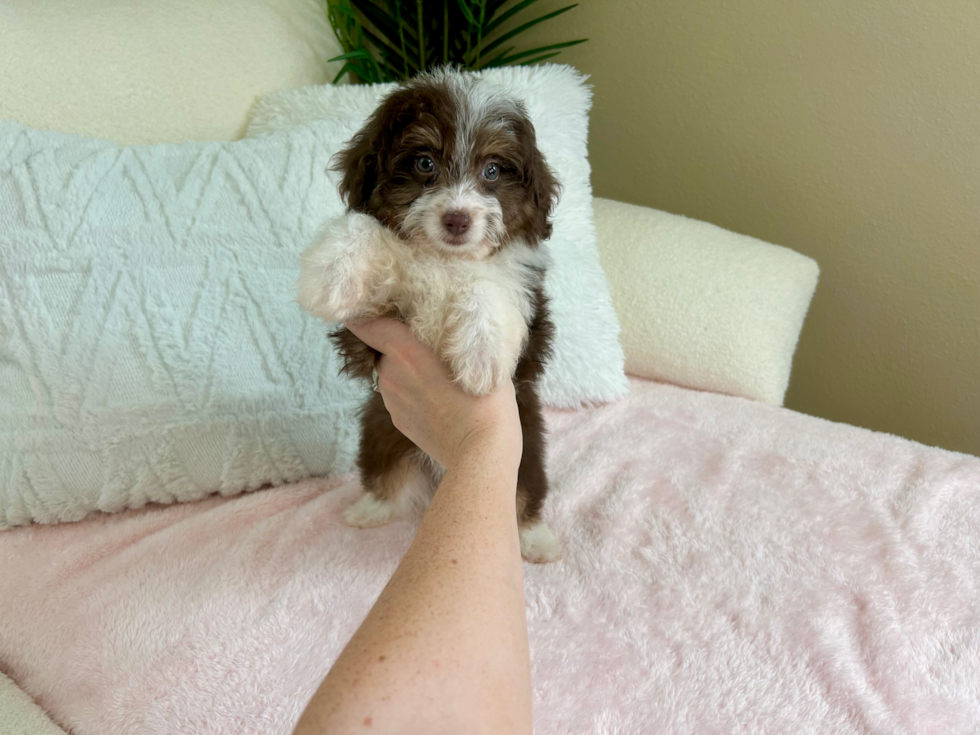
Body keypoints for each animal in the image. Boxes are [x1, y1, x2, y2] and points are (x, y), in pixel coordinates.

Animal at [296, 69, 560, 564]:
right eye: (424, 164)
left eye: (492, 170)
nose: (457, 219)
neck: (443, 260)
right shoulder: (370, 330)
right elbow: (363, 225)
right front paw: (330, 276)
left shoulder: (526, 303)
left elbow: (486, 284)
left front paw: (480, 357)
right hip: (381, 432)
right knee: (388, 477)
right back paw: (371, 509)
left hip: (527, 447)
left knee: (523, 495)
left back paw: (536, 539)